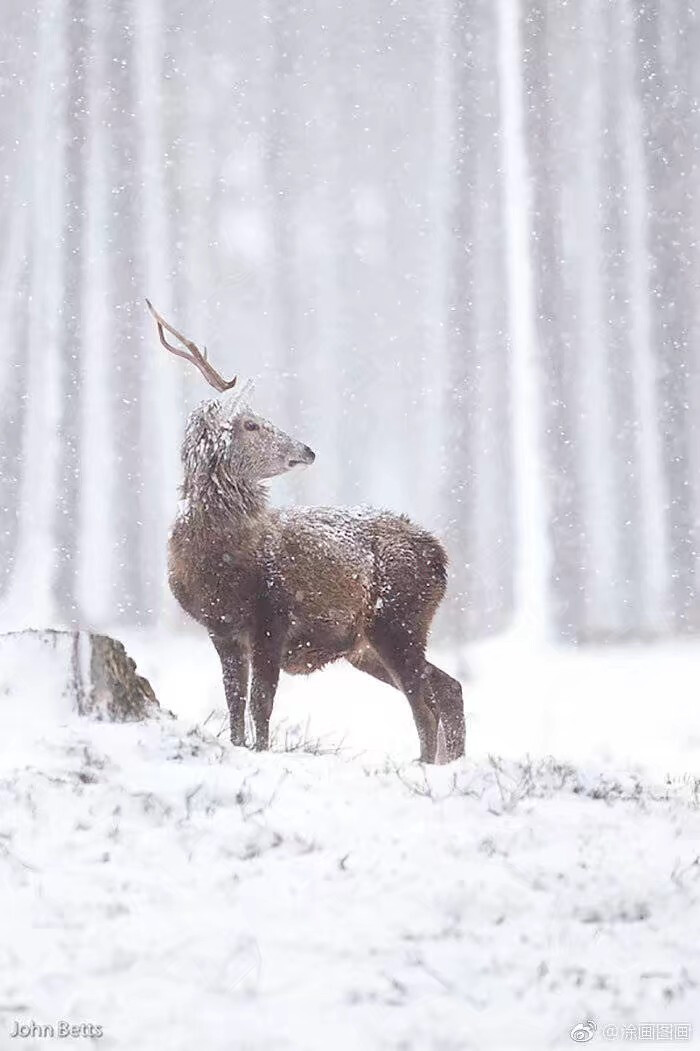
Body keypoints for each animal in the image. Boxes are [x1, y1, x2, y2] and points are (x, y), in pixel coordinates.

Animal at [146, 300, 462, 760]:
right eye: (252, 424)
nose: (308, 450)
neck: (221, 565)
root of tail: (440, 555)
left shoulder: (273, 617)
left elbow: (261, 702)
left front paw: (262, 751)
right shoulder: (221, 629)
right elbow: (234, 701)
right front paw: (240, 746)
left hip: (400, 618)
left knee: (423, 701)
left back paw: (424, 763)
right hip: (368, 644)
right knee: (447, 688)